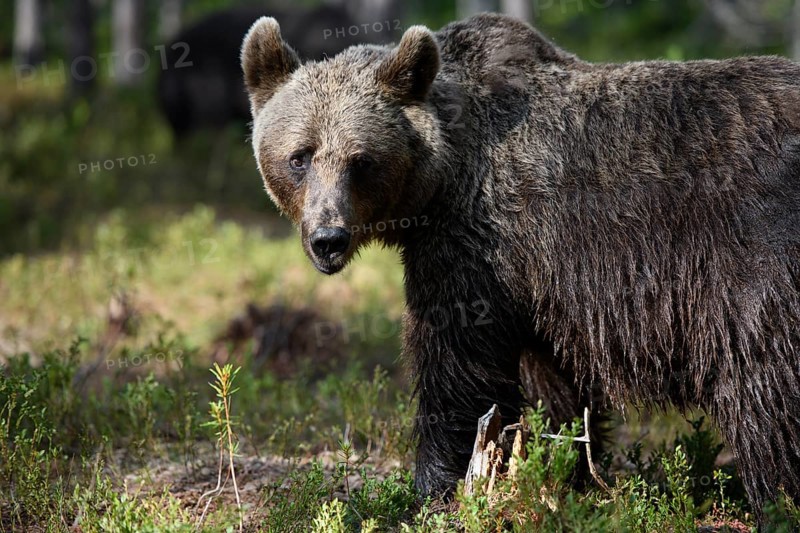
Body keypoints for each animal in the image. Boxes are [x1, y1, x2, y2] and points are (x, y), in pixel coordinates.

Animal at [241, 12, 800, 520]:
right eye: (300, 156)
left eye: (362, 160)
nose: (328, 239)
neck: (442, 182)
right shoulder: (536, 281)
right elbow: (552, 381)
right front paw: (565, 470)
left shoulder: (477, 243)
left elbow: (458, 364)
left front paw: (431, 488)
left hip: (755, 261)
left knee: (763, 391)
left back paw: (775, 500)